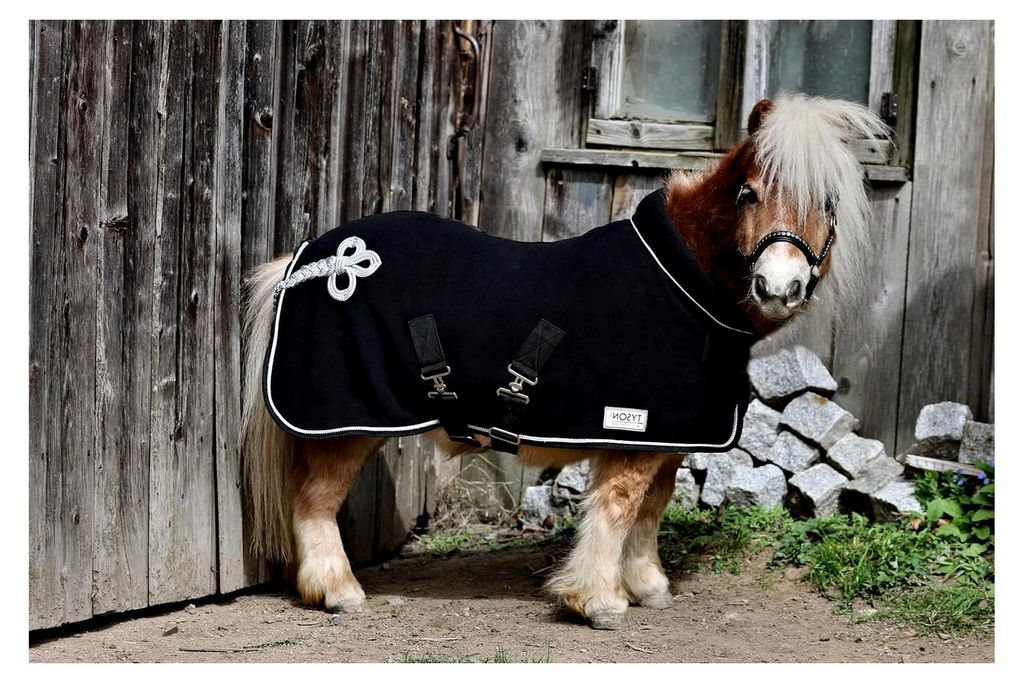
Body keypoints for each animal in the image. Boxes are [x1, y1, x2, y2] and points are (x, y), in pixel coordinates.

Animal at [240, 93, 886, 630]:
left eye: (828, 201)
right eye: (749, 193)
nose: (779, 286)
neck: (681, 287)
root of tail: (303, 261)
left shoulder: (668, 439)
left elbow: (652, 509)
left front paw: (646, 586)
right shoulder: (631, 435)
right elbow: (618, 509)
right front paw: (598, 601)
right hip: (348, 424)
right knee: (314, 499)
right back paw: (338, 591)